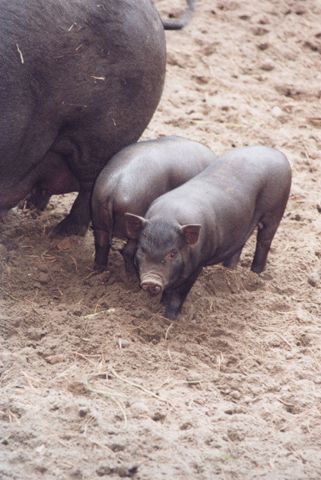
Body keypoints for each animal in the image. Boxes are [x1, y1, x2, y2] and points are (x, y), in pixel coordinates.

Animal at [90, 136, 215, 270]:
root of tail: (113, 190)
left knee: (101, 244)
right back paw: (131, 274)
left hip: (99, 220)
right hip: (135, 227)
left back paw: (99, 270)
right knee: (127, 251)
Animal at [124, 146, 290, 318]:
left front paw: (169, 318)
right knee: (240, 243)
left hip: (276, 209)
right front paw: (161, 305)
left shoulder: (197, 265)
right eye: (142, 249)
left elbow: (179, 294)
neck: (167, 217)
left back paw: (257, 272)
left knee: (264, 241)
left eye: (173, 253)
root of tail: (275, 152)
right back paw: (229, 269)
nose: (150, 281)